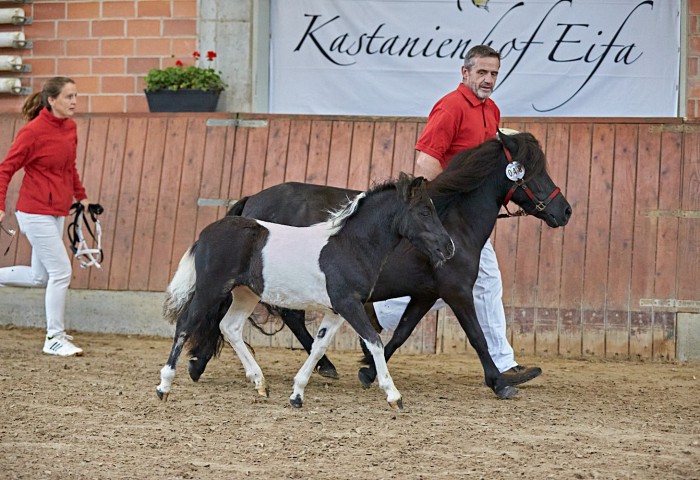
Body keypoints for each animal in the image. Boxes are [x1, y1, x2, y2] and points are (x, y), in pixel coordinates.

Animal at [156, 173, 455, 410]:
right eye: (424, 212)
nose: (448, 247)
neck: (350, 246)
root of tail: (206, 233)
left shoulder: (336, 311)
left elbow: (318, 346)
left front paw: (297, 394)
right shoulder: (349, 304)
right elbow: (374, 342)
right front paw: (394, 396)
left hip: (245, 294)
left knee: (229, 327)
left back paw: (260, 383)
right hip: (211, 289)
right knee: (185, 325)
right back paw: (164, 386)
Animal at [185, 130, 572, 398]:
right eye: (533, 171)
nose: (565, 210)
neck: (453, 220)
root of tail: (252, 200)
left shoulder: (426, 294)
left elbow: (400, 333)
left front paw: (370, 371)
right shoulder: (457, 290)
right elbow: (477, 336)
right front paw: (500, 382)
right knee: (278, 316)